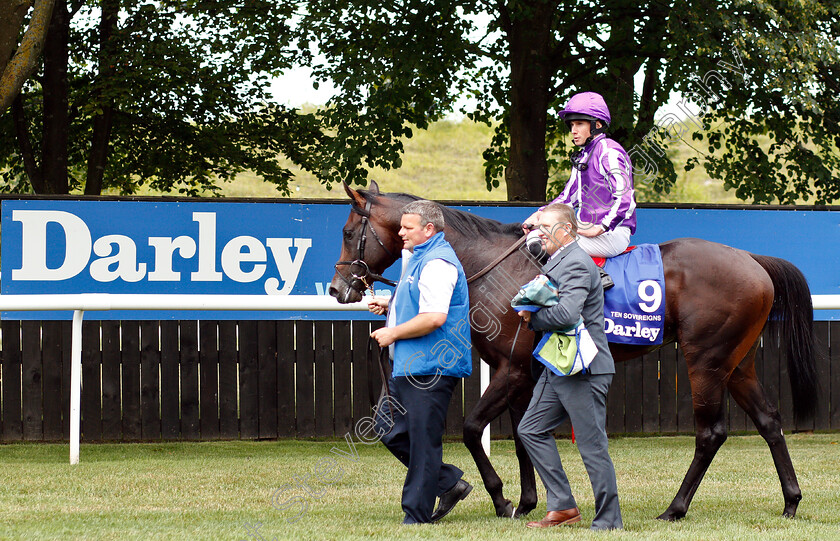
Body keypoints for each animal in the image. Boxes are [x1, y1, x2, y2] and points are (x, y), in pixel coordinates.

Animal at [328, 180, 812, 520]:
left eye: (349, 231)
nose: (336, 289)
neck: (492, 268)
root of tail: (751, 260)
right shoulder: (520, 373)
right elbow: (520, 438)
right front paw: (527, 501)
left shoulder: (510, 369)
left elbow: (470, 428)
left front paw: (500, 499)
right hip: (737, 362)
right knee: (769, 421)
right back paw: (790, 501)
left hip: (706, 361)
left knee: (710, 433)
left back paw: (675, 509)